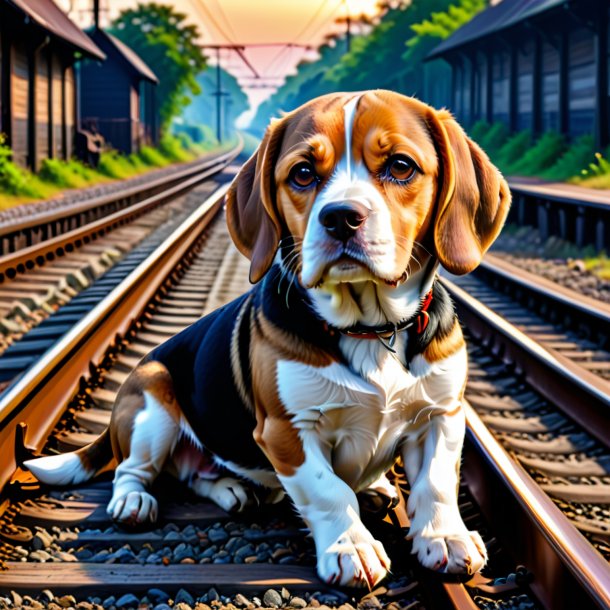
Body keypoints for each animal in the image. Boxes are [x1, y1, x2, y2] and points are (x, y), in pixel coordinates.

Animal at [25, 89, 508, 584]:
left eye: (400, 165)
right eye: (303, 173)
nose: (341, 217)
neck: (369, 328)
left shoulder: (441, 415)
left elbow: (436, 483)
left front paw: (443, 538)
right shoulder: (287, 431)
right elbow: (329, 491)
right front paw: (351, 546)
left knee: (195, 472)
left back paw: (248, 488)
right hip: (152, 398)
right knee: (133, 468)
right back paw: (135, 500)